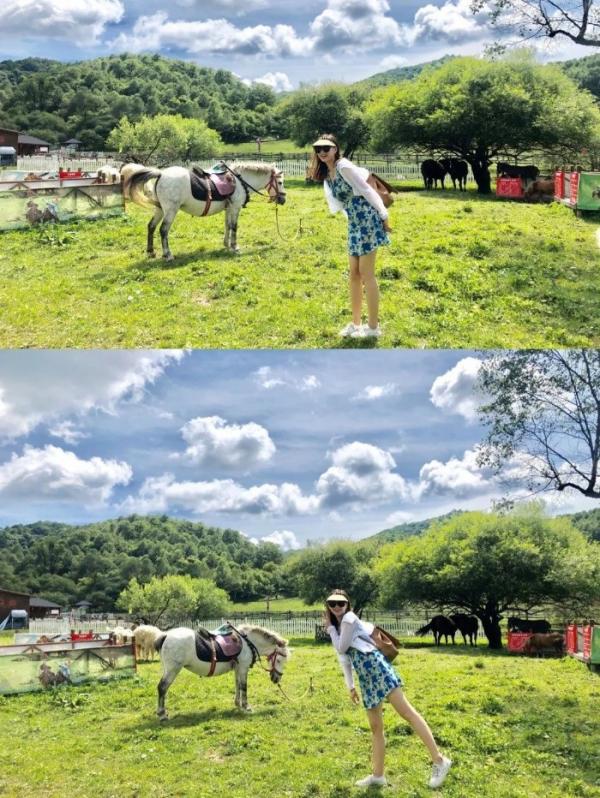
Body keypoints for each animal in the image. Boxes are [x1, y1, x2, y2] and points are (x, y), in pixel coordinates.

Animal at [121, 161, 286, 260]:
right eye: (280, 182)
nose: (283, 199)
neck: (240, 181)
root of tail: (161, 174)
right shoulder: (235, 207)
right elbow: (234, 226)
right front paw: (235, 247)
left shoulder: (228, 208)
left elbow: (227, 225)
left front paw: (226, 244)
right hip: (171, 210)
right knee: (163, 230)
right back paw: (168, 254)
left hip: (160, 208)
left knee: (151, 226)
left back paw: (151, 252)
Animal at [154, 624, 290, 720]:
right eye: (279, 660)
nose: (276, 679)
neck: (247, 643)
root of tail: (165, 635)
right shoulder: (243, 668)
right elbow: (244, 687)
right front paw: (246, 707)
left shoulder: (238, 668)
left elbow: (237, 685)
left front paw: (237, 704)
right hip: (172, 670)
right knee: (162, 687)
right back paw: (162, 714)